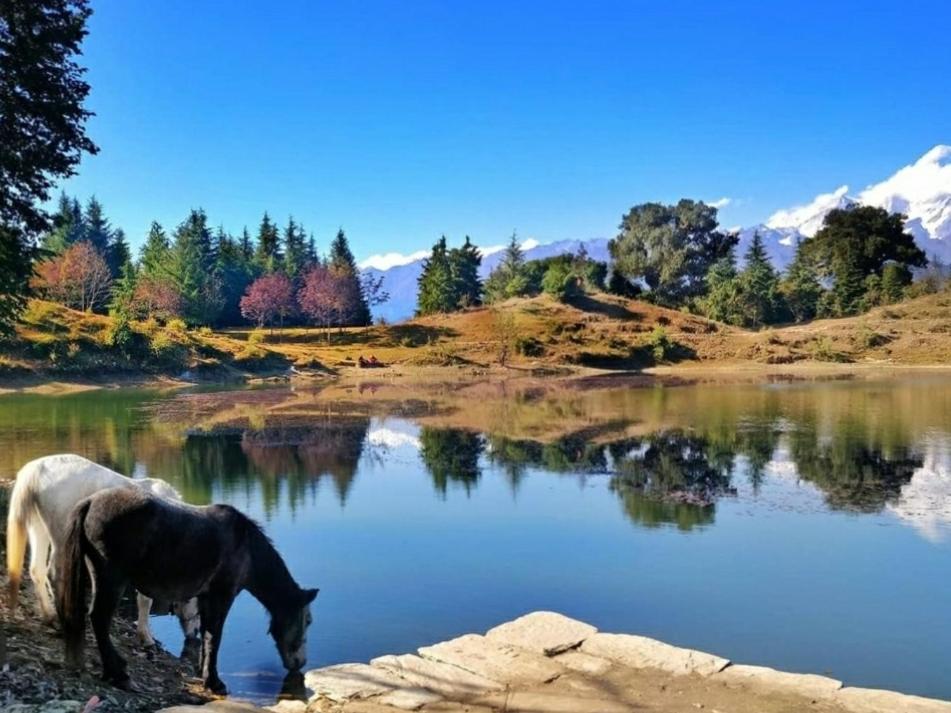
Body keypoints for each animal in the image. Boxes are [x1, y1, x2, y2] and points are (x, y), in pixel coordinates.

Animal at [6, 454, 201, 648]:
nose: (195, 635)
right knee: (54, 573)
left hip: (38, 526)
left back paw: (49, 616)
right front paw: (145, 637)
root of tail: (37, 468)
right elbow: (145, 600)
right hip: (61, 535)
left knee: (36, 570)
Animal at [57, 486, 318, 692]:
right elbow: (214, 637)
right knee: (99, 619)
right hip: (112, 580)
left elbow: (205, 636)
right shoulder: (221, 596)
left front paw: (205, 676)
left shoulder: (205, 598)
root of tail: (90, 501)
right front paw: (214, 683)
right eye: (308, 621)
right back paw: (119, 675)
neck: (246, 547)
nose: (300, 663)